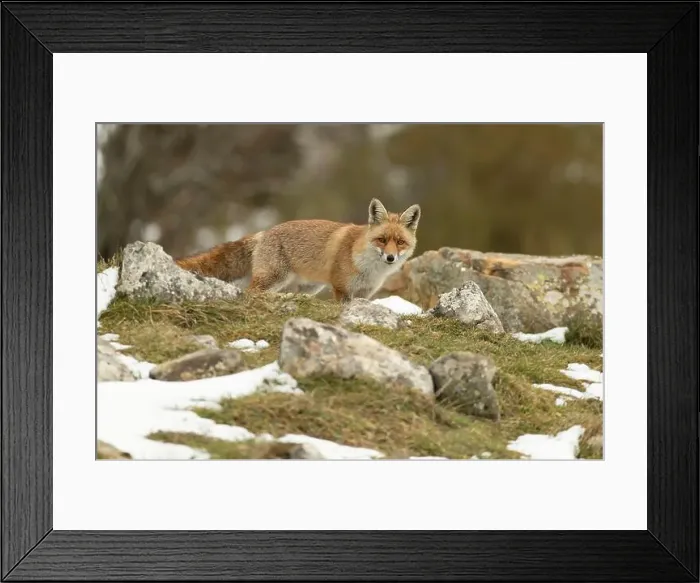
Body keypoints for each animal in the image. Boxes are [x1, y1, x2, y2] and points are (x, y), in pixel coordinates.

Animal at [174, 198, 421, 302]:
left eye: (400, 242)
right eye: (382, 240)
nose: (390, 257)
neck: (370, 269)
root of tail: (264, 232)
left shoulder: (364, 294)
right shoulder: (341, 289)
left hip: (309, 287)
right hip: (275, 277)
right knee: (252, 293)